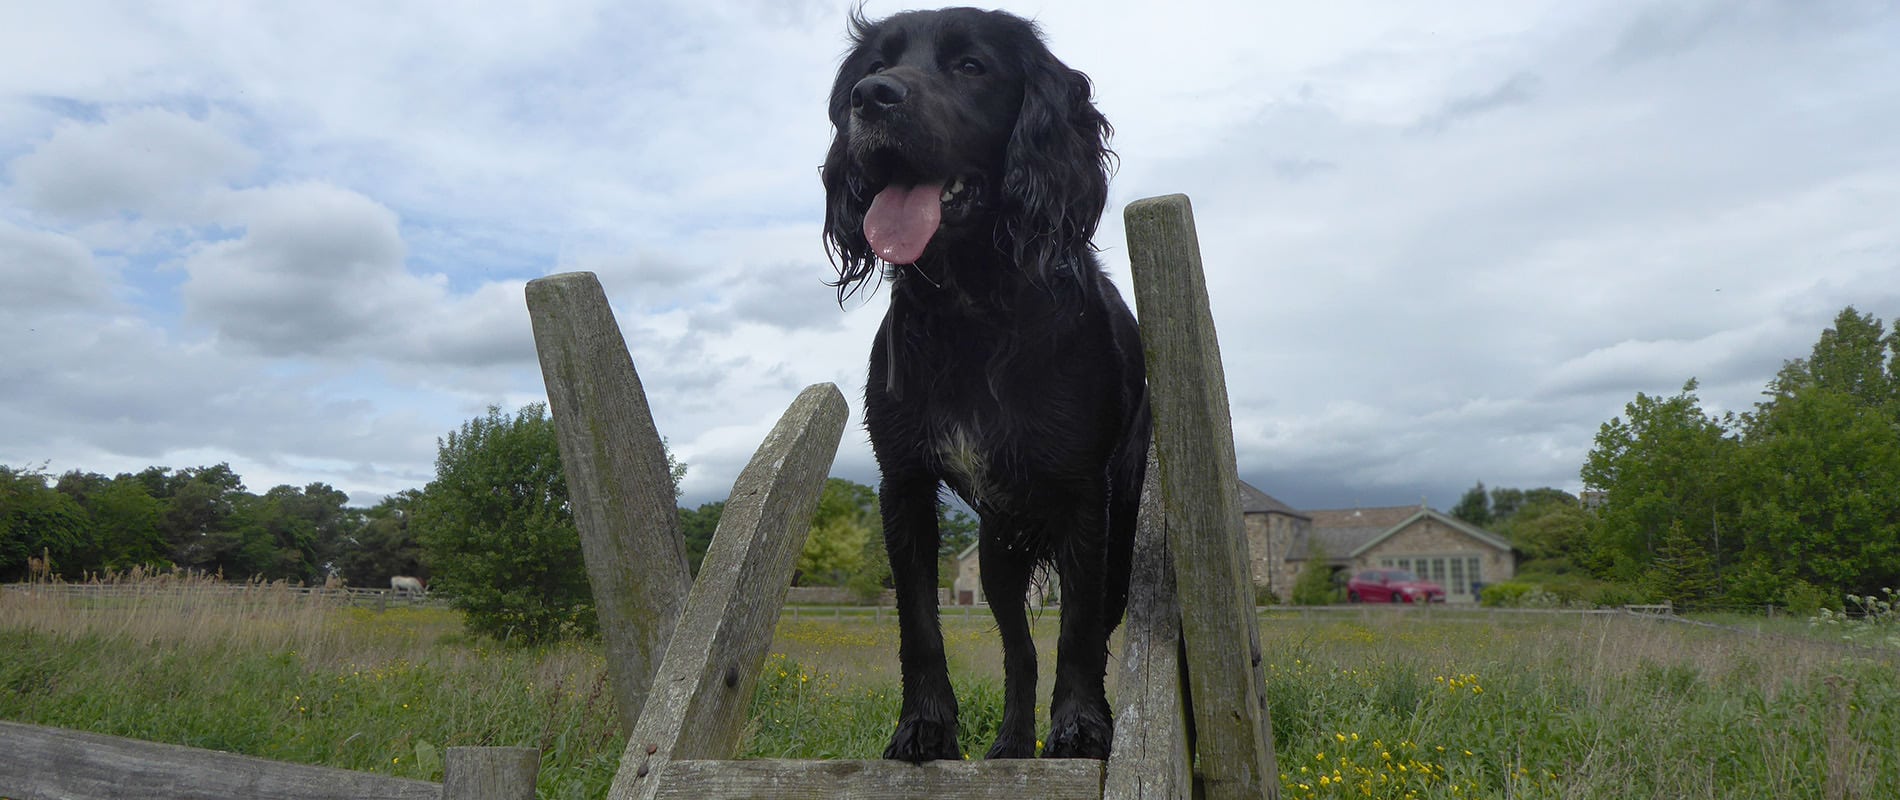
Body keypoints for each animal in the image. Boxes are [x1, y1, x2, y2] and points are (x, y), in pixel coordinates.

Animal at [817, 6, 1140, 756]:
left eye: (971, 66)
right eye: (876, 64)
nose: (871, 97)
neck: (971, 309)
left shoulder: (1087, 491)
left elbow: (1079, 631)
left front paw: (1081, 727)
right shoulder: (903, 480)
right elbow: (918, 623)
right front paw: (924, 727)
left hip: (1120, 533)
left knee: (1091, 627)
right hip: (996, 554)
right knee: (1019, 653)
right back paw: (1011, 745)